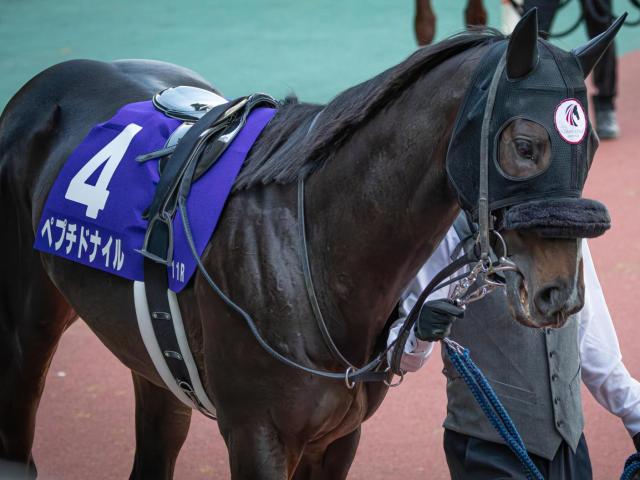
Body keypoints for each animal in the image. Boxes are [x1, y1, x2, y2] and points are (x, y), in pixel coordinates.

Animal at [0, 10, 620, 479]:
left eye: (588, 144)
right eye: (525, 144)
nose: (560, 294)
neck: (309, 255)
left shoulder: (338, 438)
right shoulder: (256, 436)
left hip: (155, 364)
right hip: (27, 328)